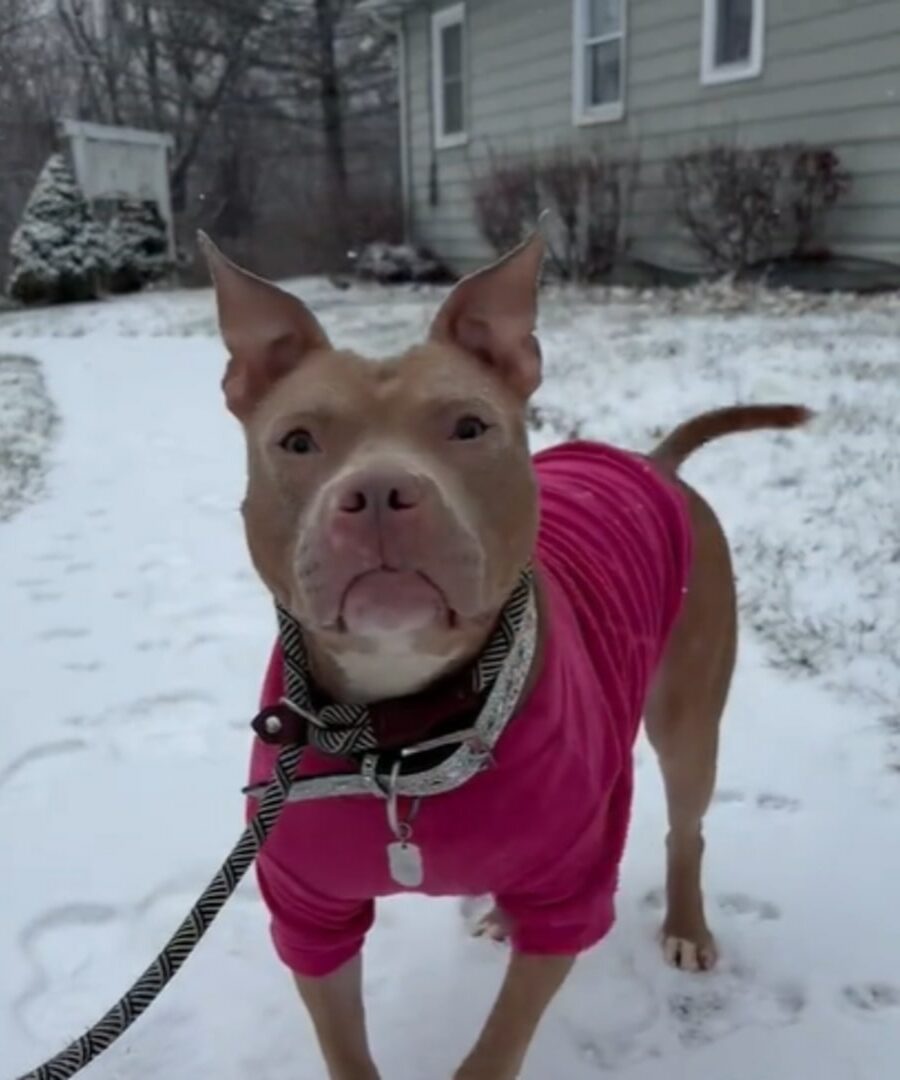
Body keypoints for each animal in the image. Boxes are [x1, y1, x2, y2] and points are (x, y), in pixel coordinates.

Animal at [202, 230, 808, 1080]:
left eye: (468, 427)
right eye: (296, 441)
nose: (380, 491)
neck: (405, 732)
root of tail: (654, 463)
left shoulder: (571, 891)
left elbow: (495, 1047)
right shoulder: (309, 913)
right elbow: (346, 1046)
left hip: (688, 717)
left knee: (686, 824)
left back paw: (686, 925)